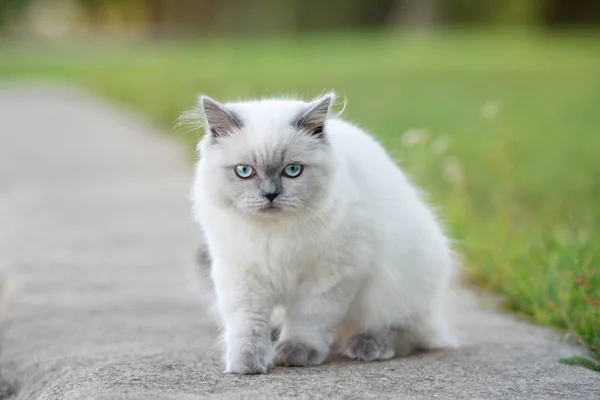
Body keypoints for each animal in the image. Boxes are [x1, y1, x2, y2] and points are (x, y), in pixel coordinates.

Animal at [188, 92, 460, 374]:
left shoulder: (331, 275)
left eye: (292, 170)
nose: (270, 194)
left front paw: (294, 354)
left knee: (410, 334)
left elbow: (308, 320)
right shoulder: (242, 274)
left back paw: (368, 345)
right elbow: (247, 325)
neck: (274, 234)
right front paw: (246, 365)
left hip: (394, 290)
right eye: (244, 171)